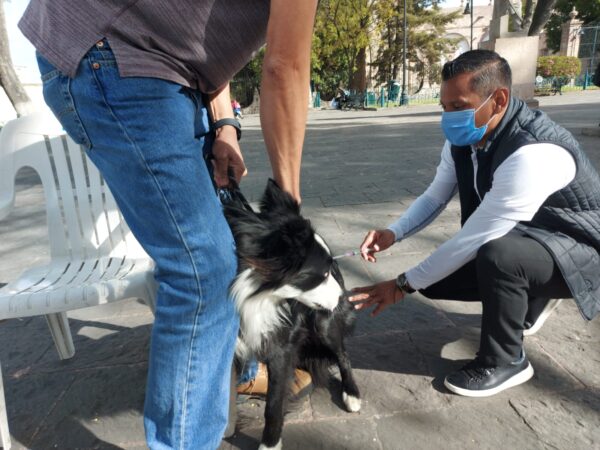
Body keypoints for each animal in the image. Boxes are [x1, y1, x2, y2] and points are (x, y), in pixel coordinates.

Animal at [221, 180, 358, 450]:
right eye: (322, 275)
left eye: (328, 272)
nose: (342, 298)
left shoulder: (281, 347)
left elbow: (274, 405)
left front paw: (270, 445)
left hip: (324, 322)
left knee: (342, 353)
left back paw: (352, 394)